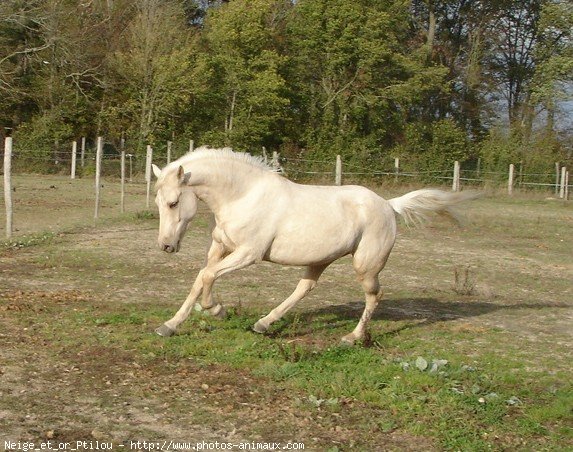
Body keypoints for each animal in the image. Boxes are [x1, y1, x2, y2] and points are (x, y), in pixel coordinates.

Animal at [151, 147, 474, 344]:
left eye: (174, 202)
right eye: (157, 202)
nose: (166, 246)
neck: (243, 195)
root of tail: (388, 205)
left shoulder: (248, 254)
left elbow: (207, 277)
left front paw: (217, 310)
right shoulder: (220, 247)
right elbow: (200, 279)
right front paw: (169, 326)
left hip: (366, 266)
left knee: (374, 295)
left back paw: (352, 338)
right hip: (321, 259)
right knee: (305, 288)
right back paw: (264, 323)